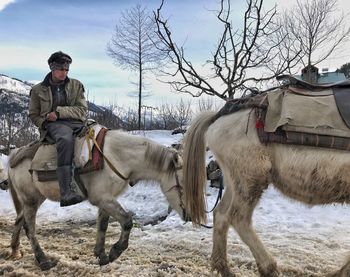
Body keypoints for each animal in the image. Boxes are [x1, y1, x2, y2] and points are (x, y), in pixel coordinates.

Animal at [7, 129, 189, 270]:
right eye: (181, 185)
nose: (188, 215)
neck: (117, 157)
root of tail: (14, 156)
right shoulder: (102, 198)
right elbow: (127, 221)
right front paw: (115, 251)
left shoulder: (106, 199)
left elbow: (103, 226)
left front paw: (101, 255)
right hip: (31, 200)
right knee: (29, 228)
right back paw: (43, 260)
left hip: (34, 199)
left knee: (19, 220)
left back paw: (15, 251)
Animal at [182, 108, 350, 276]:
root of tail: (217, 118)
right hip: (251, 180)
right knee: (238, 218)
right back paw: (269, 268)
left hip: (235, 183)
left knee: (221, 214)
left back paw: (223, 267)